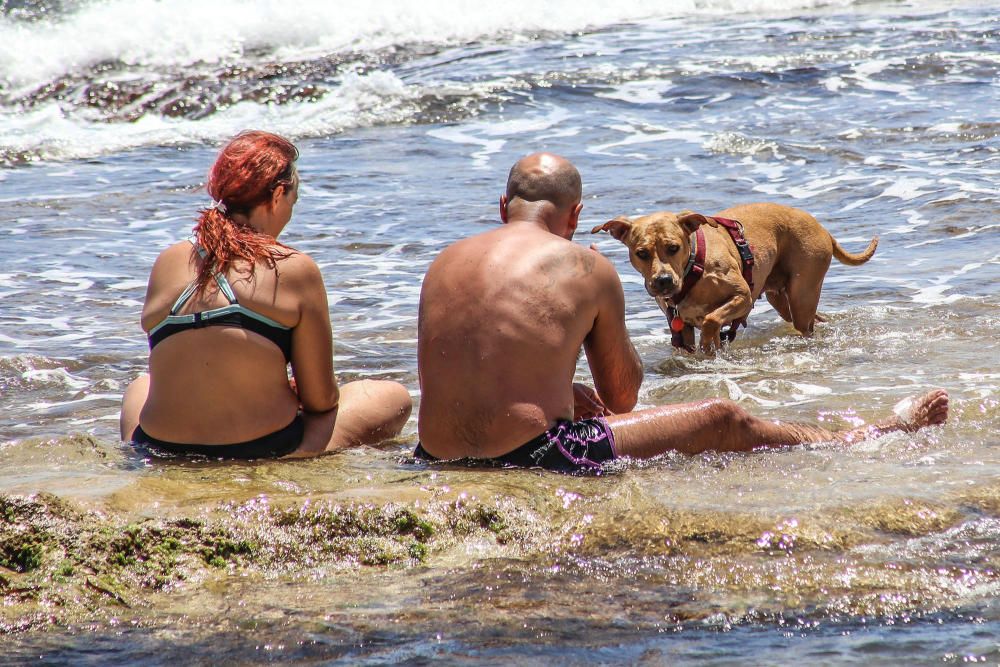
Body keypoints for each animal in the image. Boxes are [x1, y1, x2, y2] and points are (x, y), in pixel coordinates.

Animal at [592, 202, 876, 354]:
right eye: (641, 253)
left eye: (673, 247)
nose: (662, 281)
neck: (693, 268)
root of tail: (822, 228)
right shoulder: (679, 326)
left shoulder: (743, 297)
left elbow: (711, 319)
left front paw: (709, 344)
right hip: (783, 298)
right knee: (811, 317)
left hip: (802, 294)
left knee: (806, 323)